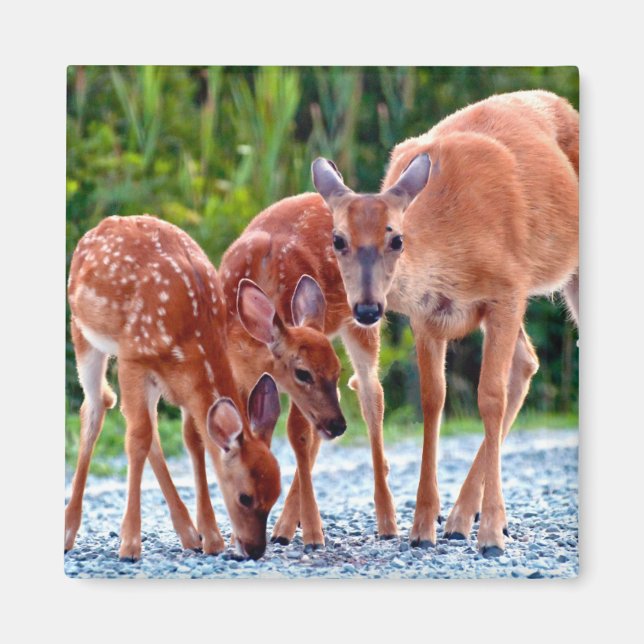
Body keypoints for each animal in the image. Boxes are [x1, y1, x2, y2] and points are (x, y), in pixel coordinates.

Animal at [66, 214, 282, 561]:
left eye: (275, 494)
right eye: (245, 497)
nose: (254, 549)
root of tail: (99, 227)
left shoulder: (181, 380)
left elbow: (193, 440)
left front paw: (211, 537)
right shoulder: (133, 356)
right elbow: (136, 439)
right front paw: (129, 544)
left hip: (153, 377)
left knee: (148, 425)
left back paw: (188, 534)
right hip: (83, 333)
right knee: (96, 408)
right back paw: (68, 532)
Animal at [218, 195, 399, 549]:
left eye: (336, 369)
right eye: (303, 373)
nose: (339, 426)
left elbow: (298, 436)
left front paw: (314, 534)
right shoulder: (240, 373)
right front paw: (236, 534)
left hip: (363, 318)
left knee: (371, 394)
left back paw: (387, 522)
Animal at [311, 90, 579, 556]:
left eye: (396, 238)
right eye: (338, 239)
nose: (367, 309)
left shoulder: (508, 290)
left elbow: (489, 396)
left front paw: (491, 535)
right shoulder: (426, 318)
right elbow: (432, 400)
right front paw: (422, 527)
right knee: (527, 362)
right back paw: (457, 520)